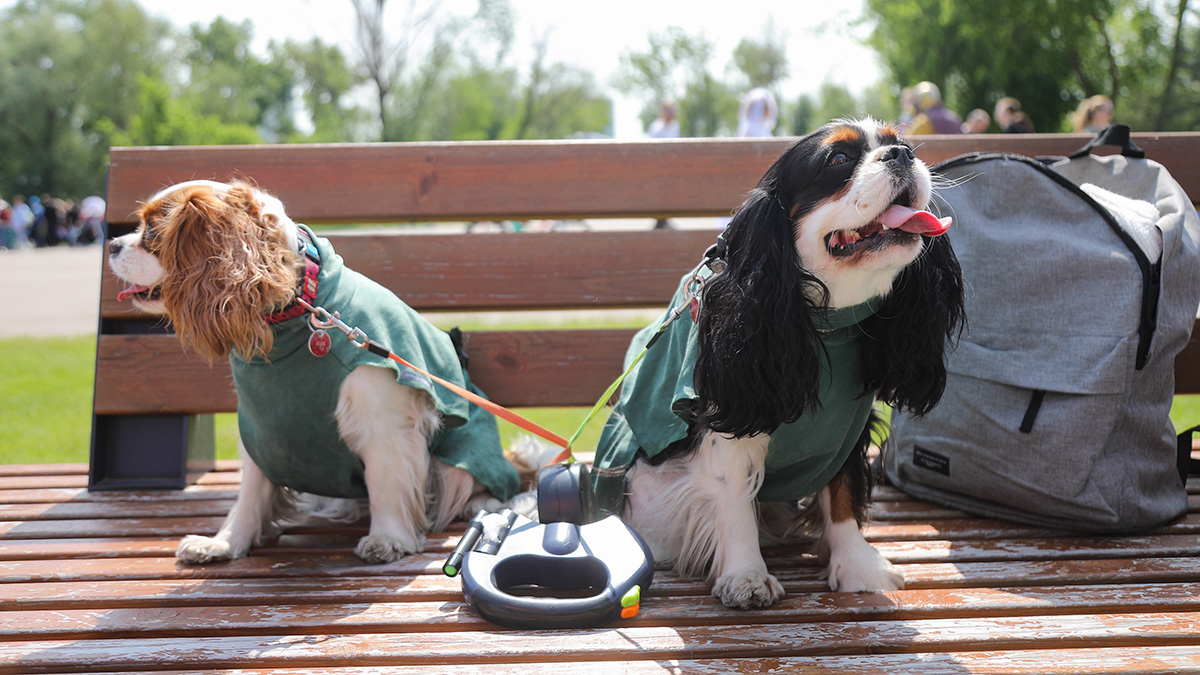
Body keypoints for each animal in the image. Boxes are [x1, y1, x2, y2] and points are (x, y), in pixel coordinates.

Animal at [108, 178, 530, 562]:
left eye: (152, 232)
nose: (111, 245)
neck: (294, 308)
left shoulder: (383, 421)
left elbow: (386, 479)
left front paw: (388, 538)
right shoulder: (261, 426)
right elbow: (251, 492)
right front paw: (226, 543)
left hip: (464, 457)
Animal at [595, 118, 969, 607]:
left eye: (901, 143)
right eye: (838, 159)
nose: (903, 155)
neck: (827, 322)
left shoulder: (848, 424)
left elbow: (843, 490)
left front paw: (857, 567)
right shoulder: (728, 422)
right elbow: (734, 497)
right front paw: (746, 577)